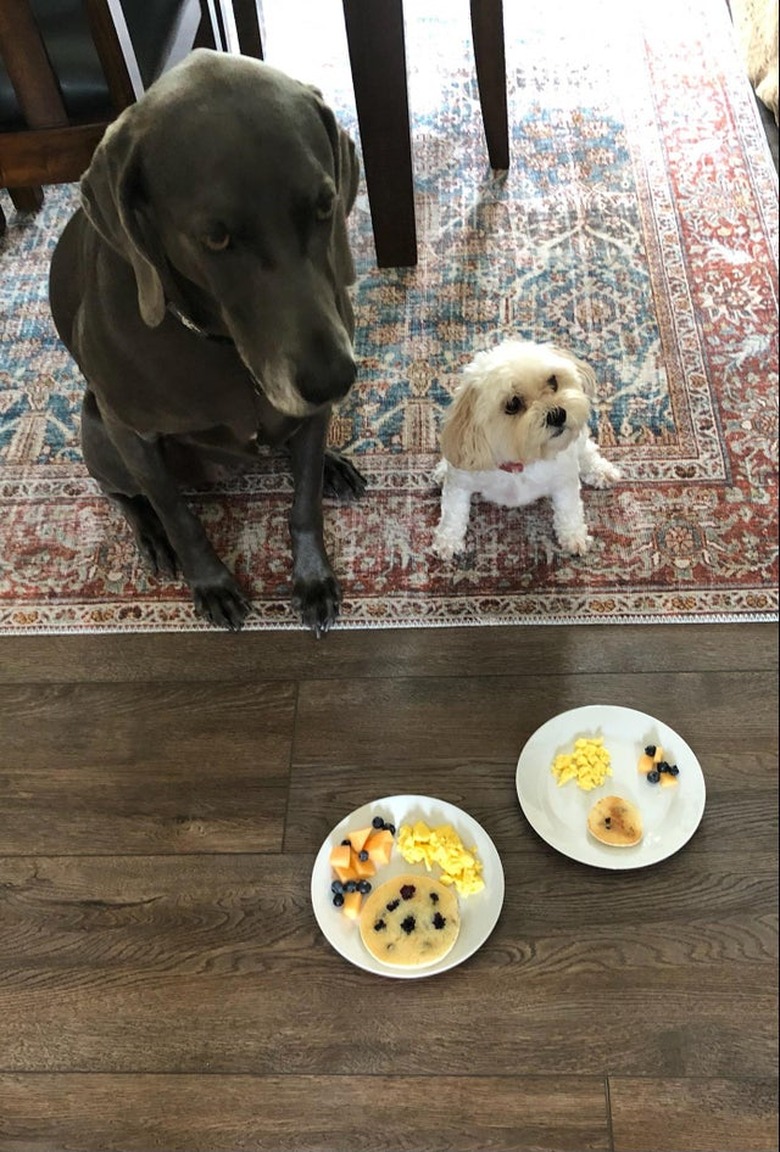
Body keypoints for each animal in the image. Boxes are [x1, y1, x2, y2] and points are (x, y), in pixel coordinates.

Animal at [48, 49, 364, 635]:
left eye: (324, 206)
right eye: (215, 238)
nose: (333, 379)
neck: (222, 346)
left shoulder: (309, 412)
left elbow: (304, 500)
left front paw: (313, 577)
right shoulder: (132, 432)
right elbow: (178, 514)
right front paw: (212, 582)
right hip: (96, 430)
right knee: (122, 493)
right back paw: (149, 536)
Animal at [430, 338, 622, 559]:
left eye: (553, 381)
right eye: (512, 404)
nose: (557, 414)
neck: (521, 462)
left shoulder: (563, 479)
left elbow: (569, 510)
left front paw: (574, 536)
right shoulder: (461, 482)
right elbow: (453, 513)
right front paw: (447, 541)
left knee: (587, 450)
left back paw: (601, 470)